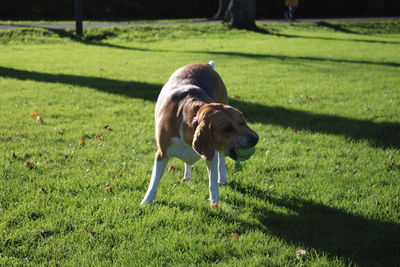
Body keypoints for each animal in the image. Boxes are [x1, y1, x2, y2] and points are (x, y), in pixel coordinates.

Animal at [141, 61, 260, 206]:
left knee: (221, 160)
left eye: (242, 122)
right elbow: (154, 180)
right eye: (227, 128)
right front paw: (146, 201)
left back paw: (222, 178)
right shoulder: (162, 154)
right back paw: (187, 176)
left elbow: (212, 181)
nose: (256, 138)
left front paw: (214, 203)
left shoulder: (211, 154)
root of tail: (204, 64)